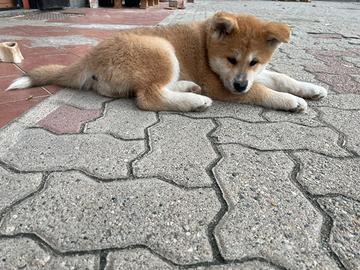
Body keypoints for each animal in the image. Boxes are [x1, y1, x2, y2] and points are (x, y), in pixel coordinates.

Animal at [6, 11, 326, 112]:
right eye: (231, 58)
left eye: (254, 62)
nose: (239, 86)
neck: (206, 46)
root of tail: (90, 55)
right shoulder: (220, 85)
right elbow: (262, 91)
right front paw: (290, 101)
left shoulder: (251, 77)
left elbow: (280, 78)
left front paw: (310, 88)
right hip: (162, 51)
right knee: (148, 97)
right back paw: (195, 101)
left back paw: (188, 88)